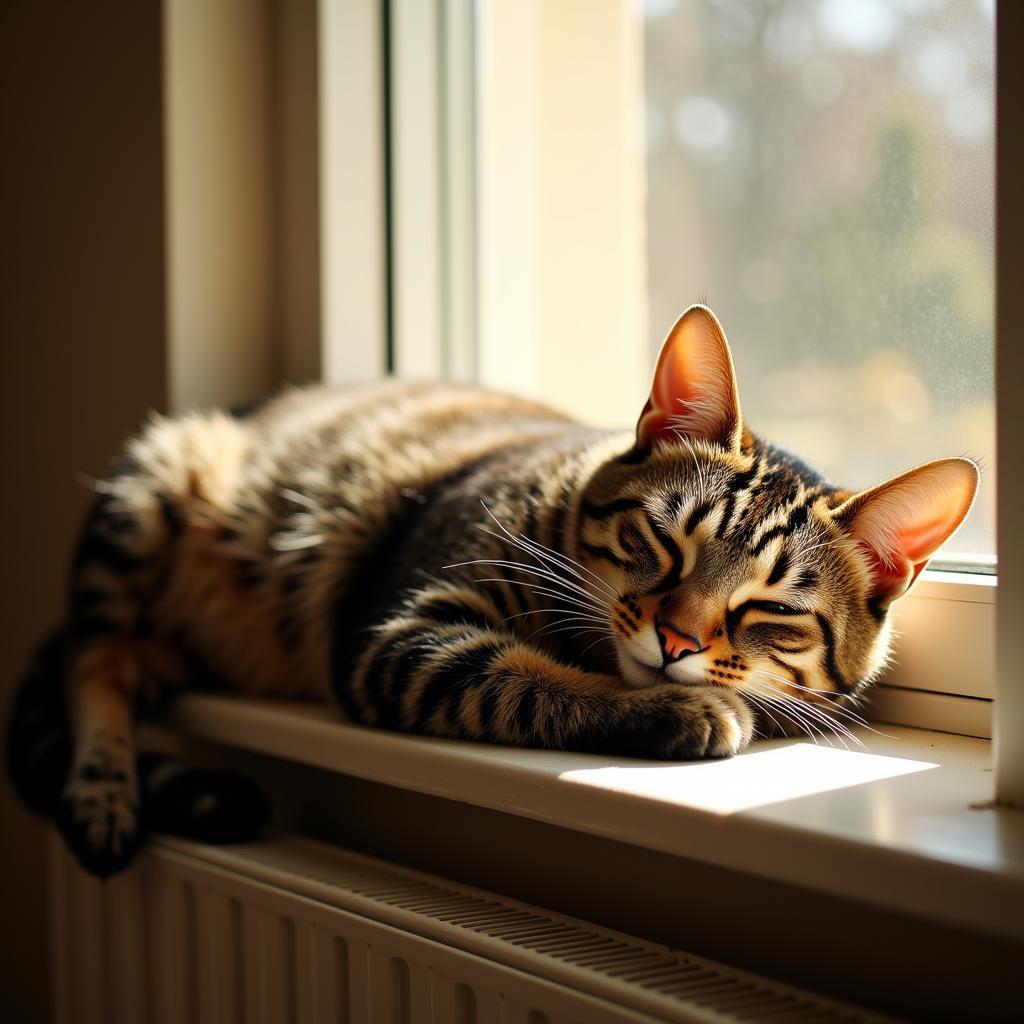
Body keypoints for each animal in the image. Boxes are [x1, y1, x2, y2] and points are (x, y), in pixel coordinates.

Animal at [9, 303, 983, 872]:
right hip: (150, 486)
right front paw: (679, 709)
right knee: (94, 663)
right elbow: (533, 684)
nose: (675, 641)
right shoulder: (405, 640)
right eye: (664, 544)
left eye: (770, 613)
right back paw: (103, 785)